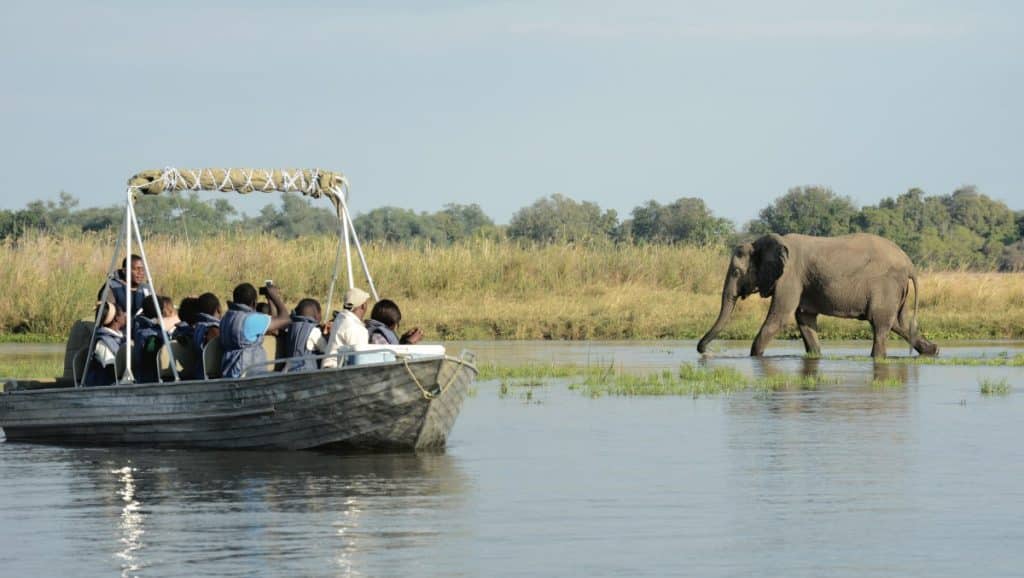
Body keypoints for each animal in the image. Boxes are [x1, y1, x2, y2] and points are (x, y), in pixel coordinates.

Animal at [697, 233, 938, 358]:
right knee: (897, 322)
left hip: (886, 285)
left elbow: (779, 317)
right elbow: (804, 319)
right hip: (895, 290)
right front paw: (815, 355)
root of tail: (909, 263)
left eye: (737, 272)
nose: (703, 351)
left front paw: (754, 356)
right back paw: (932, 351)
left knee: (880, 325)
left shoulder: (789, 276)